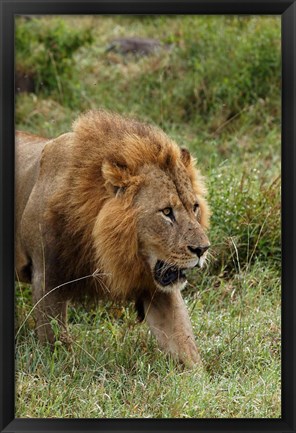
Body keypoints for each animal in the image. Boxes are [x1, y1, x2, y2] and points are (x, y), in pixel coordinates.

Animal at [15, 109, 210, 366]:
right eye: (167, 212)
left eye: (194, 207)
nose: (203, 249)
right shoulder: (46, 278)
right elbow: (57, 347)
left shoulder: (157, 287)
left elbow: (185, 345)